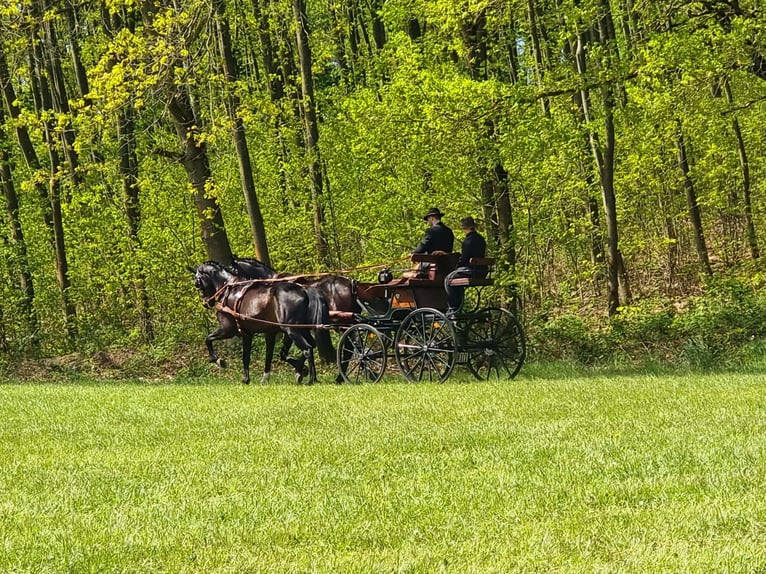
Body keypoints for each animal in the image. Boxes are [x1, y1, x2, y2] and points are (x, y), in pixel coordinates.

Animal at [190, 264, 334, 384]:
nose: (206, 302)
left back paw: (310, 379)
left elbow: (208, 339)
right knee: (311, 345)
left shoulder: (228, 330)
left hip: (291, 330)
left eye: (198, 282)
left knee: (307, 349)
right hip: (300, 329)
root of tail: (304, 290)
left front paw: (218, 360)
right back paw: (308, 374)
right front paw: (248, 379)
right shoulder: (250, 334)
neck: (228, 291)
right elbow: (249, 357)